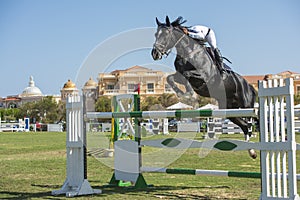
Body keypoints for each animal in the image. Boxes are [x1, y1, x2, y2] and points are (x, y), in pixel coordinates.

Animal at [152, 16, 258, 159]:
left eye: (166, 34)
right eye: (156, 34)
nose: (155, 54)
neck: (188, 52)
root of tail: (249, 86)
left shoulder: (204, 77)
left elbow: (187, 75)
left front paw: (189, 94)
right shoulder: (179, 75)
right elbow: (171, 78)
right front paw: (182, 93)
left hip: (247, 107)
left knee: (252, 122)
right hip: (230, 110)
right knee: (245, 126)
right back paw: (251, 151)